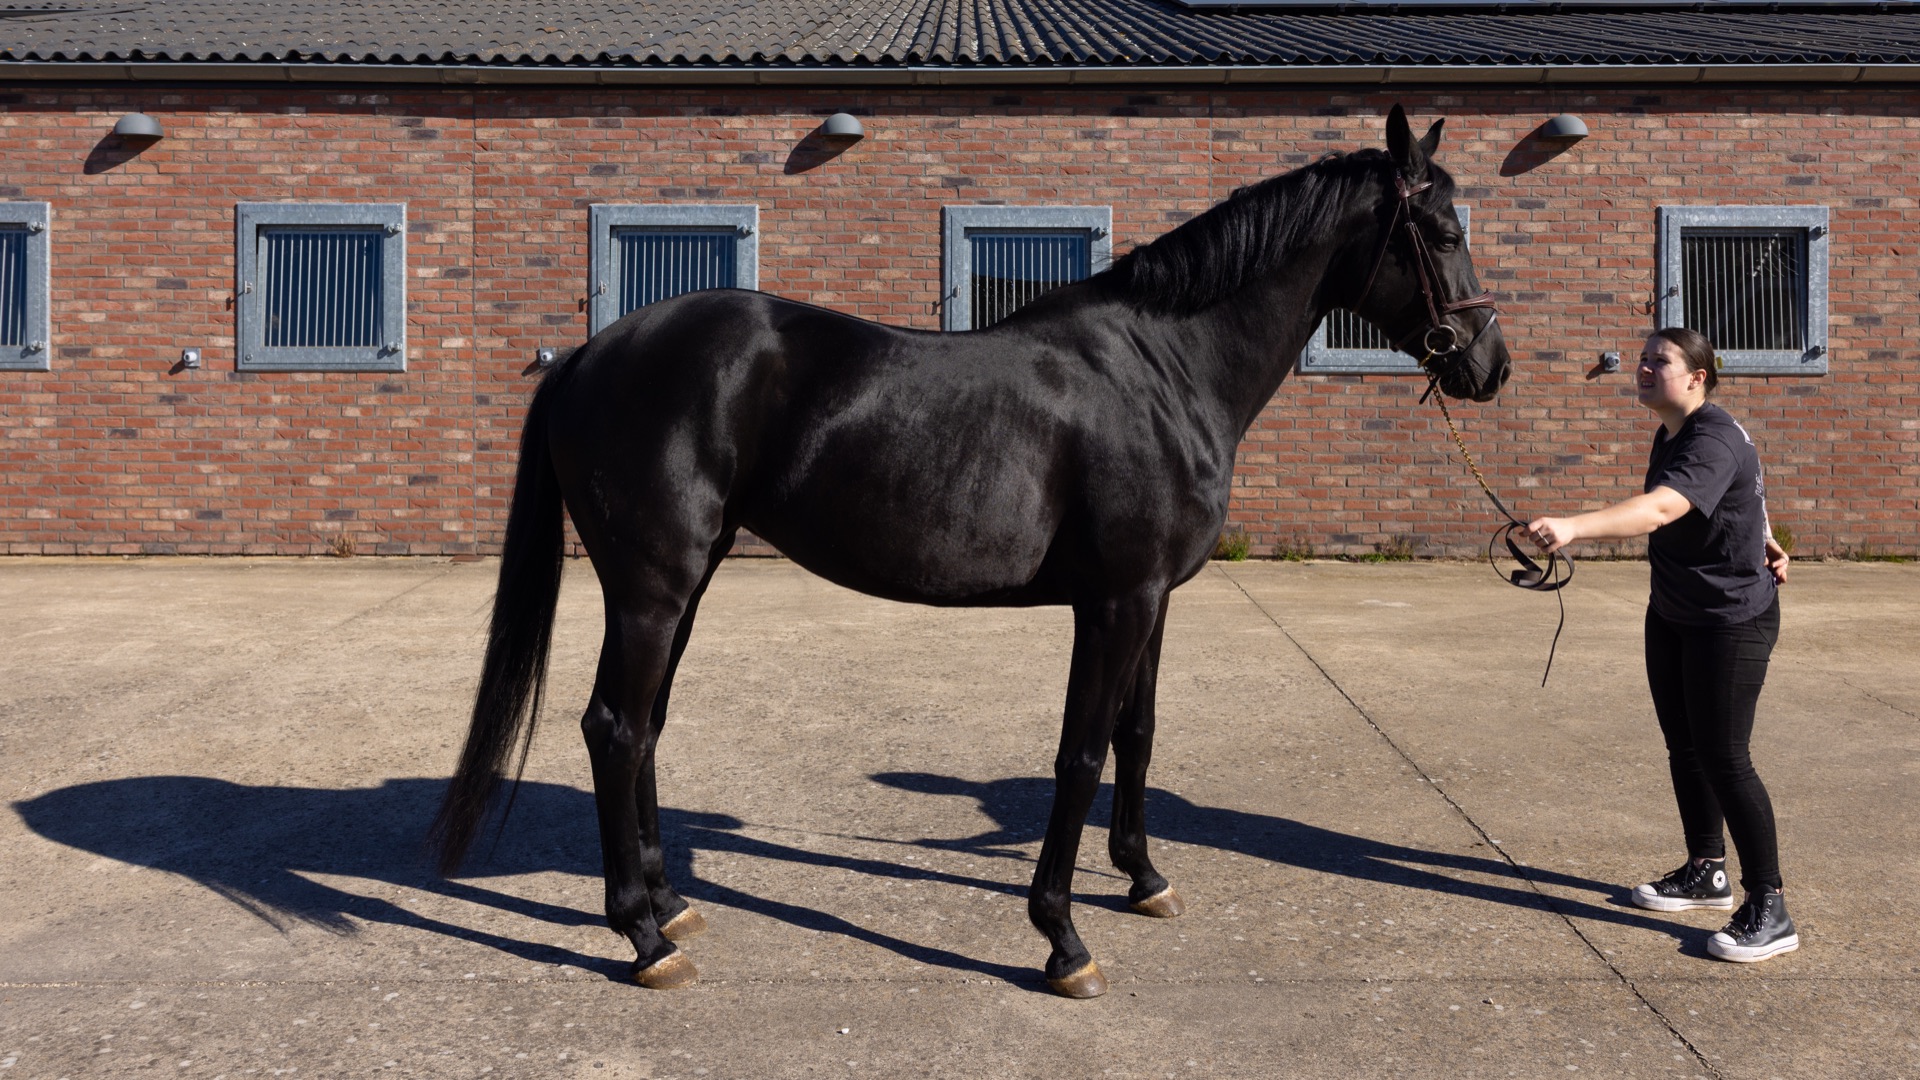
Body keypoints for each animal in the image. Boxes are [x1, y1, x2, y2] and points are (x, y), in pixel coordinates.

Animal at [429, 105, 1511, 998]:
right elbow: (1080, 752)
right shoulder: (1115, 601)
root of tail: (588, 355)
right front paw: (1062, 939)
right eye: (1444, 232)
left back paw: (670, 905)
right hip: (652, 589)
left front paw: (1145, 878)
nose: (1488, 365)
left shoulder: (1155, 597)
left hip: (685, 585)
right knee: (616, 727)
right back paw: (643, 940)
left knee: (645, 727)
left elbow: (1138, 735)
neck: (1166, 369)